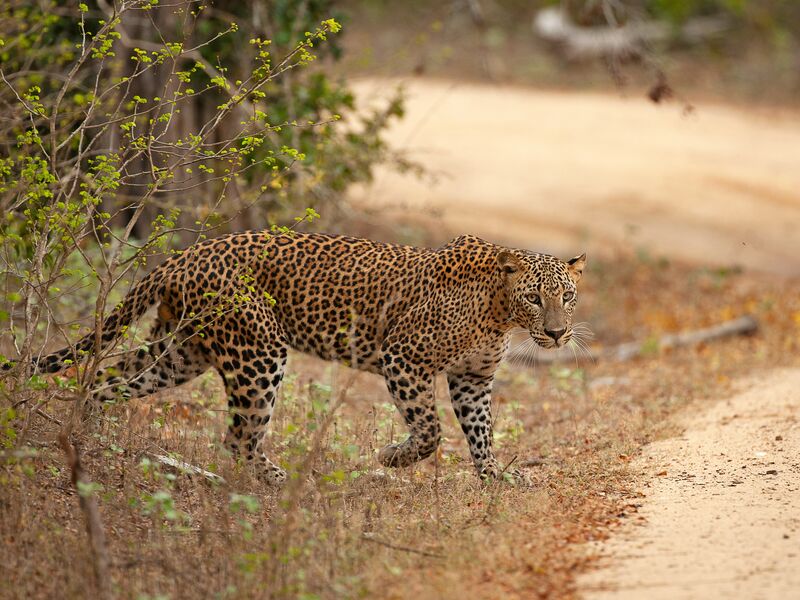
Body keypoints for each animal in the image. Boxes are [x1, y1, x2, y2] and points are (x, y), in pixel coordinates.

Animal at [6, 231, 586, 485]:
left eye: (567, 295)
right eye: (535, 297)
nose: (557, 334)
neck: (500, 312)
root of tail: (183, 255)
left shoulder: (472, 378)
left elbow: (481, 431)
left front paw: (495, 480)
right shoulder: (404, 358)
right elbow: (429, 431)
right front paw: (392, 459)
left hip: (181, 352)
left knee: (103, 381)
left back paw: (84, 441)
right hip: (259, 352)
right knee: (238, 438)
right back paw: (283, 482)